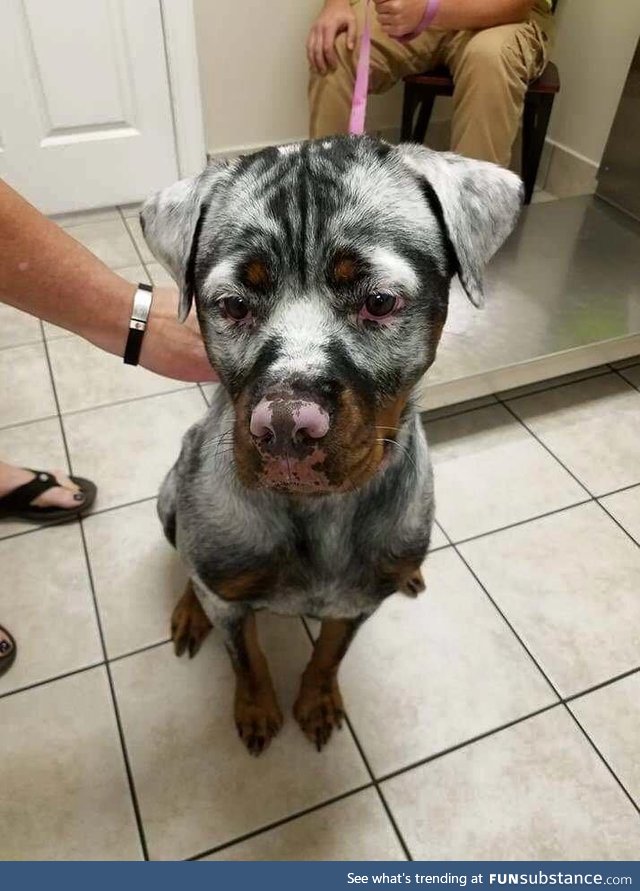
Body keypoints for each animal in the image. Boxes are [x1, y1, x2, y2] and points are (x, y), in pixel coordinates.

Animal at [140, 136, 520, 756]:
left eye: (380, 301)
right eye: (232, 305)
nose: (285, 426)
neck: (318, 516)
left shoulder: (356, 604)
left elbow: (329, 655)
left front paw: (316, 700)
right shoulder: (231, 599)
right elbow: (247, 658)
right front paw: (256, 707)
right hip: (171, 493)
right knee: (187, 565)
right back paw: (190, 608)